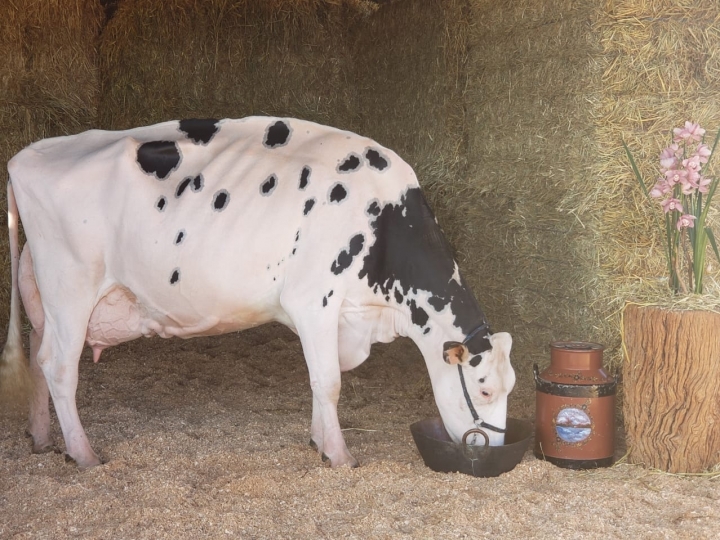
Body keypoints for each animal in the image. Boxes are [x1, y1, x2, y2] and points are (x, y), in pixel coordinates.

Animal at [0, 117, 515, 469]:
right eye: (484, 388)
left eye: (510, 386)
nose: (493, 448)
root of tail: (30, 153)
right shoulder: (314, 301)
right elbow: (328, 381)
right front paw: (339, 454)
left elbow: (319, 382)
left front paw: (318, 441)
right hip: (71, 287)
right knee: (58, 367)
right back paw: (84, 454)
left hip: (44, 294)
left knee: (37, 353)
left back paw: (42, 438)